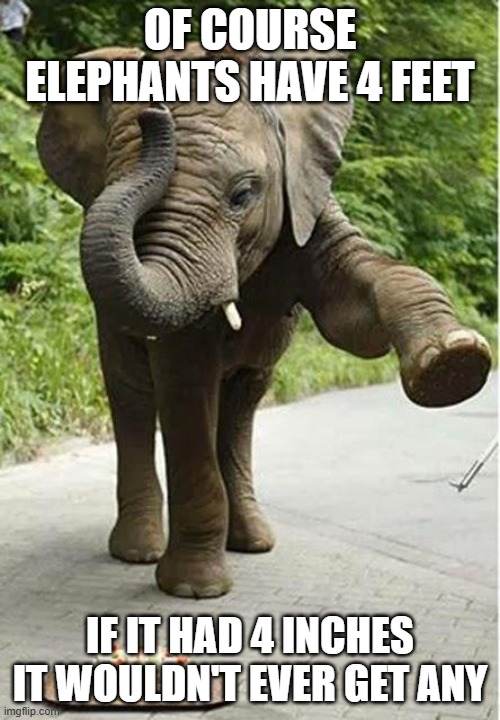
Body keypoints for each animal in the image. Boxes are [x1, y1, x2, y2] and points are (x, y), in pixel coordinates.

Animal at [37, 44, 491, 598]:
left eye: (244, 194)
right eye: (110, 186)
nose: (152, 116)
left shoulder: (304, 198)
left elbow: (355, 307)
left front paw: (454, 364)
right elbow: (184, 383)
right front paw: (195, 591)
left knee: (240, 404)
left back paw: (253, 542)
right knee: (135, 399)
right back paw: (138, 551)